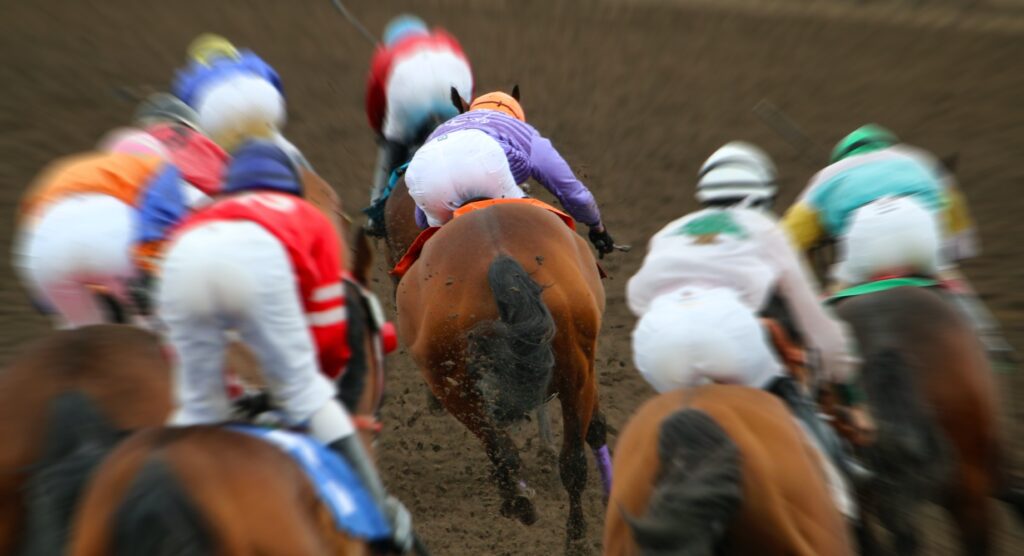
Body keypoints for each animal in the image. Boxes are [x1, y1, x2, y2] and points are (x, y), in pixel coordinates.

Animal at [395, 202, 606, 548]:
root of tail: (498, 256)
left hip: (451, 385)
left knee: (503, 448)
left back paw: (520, 504)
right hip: (575, 376)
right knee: (572, 462)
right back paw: (573, 538)